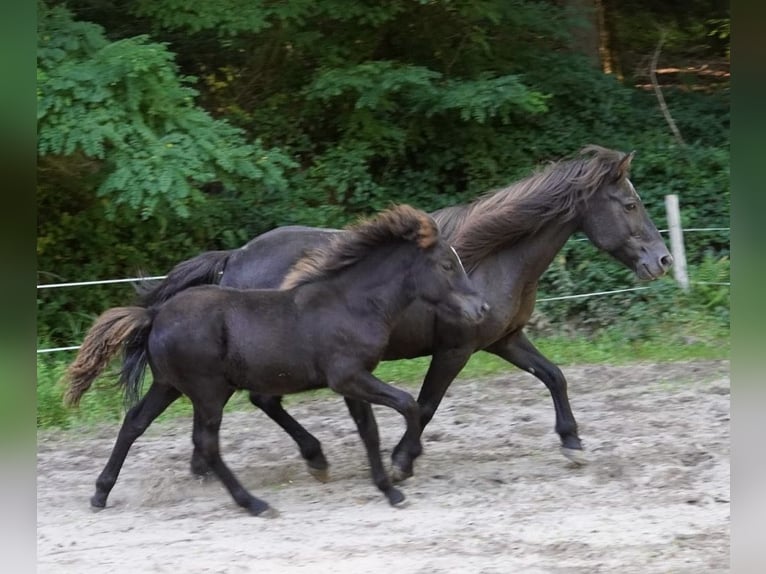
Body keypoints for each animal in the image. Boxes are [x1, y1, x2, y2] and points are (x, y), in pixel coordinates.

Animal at [61, 205, 490, 516]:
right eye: (446, 265)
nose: (482, 308)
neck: (351, 303)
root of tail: (155, 315)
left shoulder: (353, 381)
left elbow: (369, 431)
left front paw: (388, 488)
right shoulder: (349, 377)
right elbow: (408, 405)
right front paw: (402, 468)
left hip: (169, 386)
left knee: (135, 423)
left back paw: (100, 493)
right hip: (208, 391)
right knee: (206, 442)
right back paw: (254, 503)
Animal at [138, 145, 673, 482]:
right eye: (630, 203)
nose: (663, 260)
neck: (491, 258)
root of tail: (235, 258)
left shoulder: (504, 339)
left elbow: (554, 376)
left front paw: (572, 443)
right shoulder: (456, 349)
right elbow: (427, 403)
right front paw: (401, 461)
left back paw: (207, 467)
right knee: (260, 402)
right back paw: (310, 458)